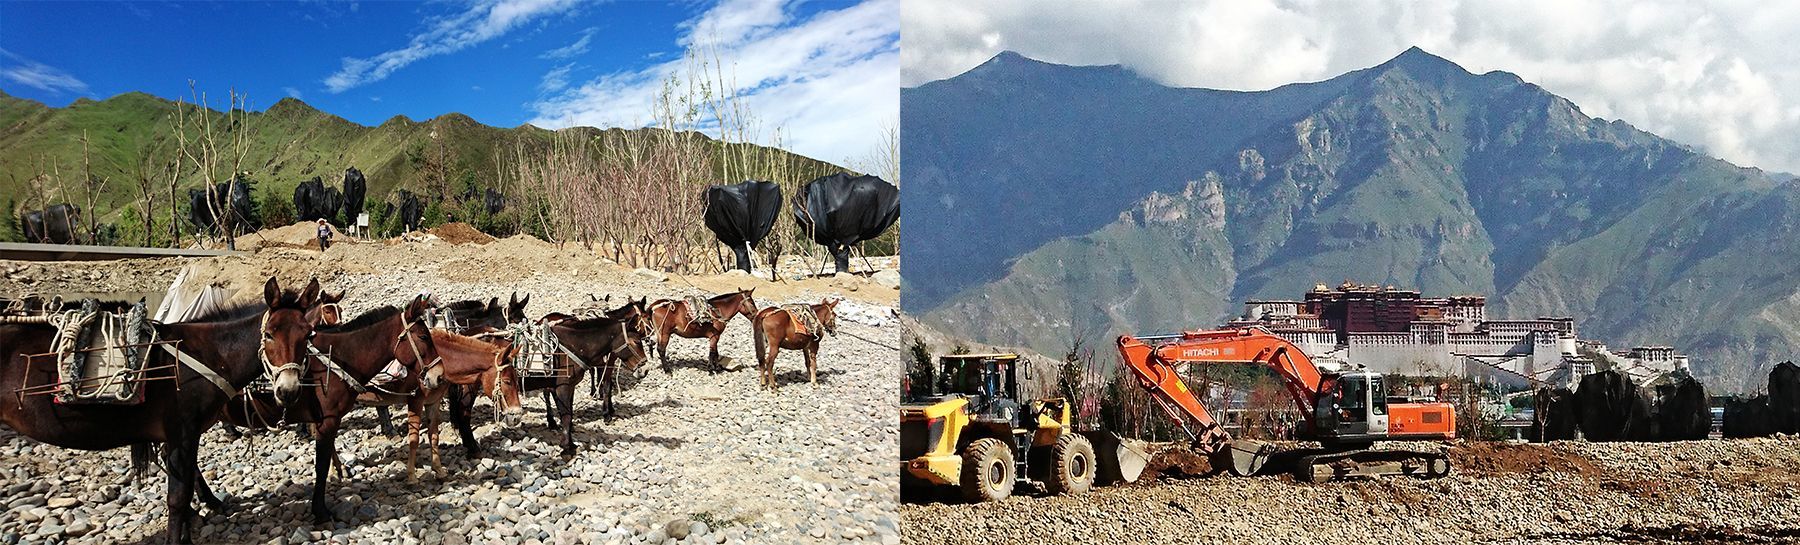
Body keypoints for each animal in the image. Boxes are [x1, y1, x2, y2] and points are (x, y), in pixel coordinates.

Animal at [0, 280, 320, 543]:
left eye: (308, 335)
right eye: (269, 334)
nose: (288, 390)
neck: (208, 354)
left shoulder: (180, 435)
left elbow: (186, 483)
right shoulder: (182, 432)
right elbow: (178, 496)